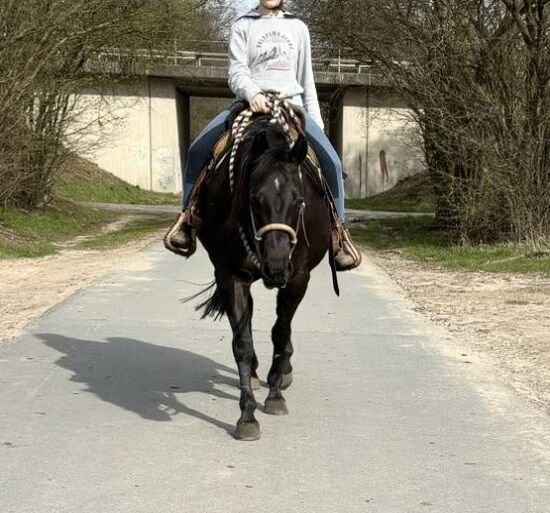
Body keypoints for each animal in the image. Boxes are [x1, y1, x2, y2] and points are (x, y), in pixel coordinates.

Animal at [196, 112, 332, 440]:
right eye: (254, 199)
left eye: (299, 200)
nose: (276, 266)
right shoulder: (231, 276)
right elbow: (242, 344)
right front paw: (247, 416)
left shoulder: (298, 278)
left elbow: (281, 333)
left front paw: (275, 396)